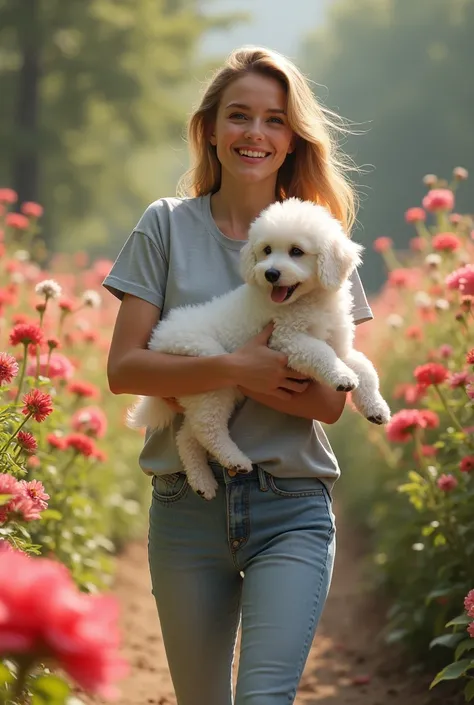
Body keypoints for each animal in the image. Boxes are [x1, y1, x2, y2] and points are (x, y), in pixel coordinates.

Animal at [127, 195, 388, 498]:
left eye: (296, 251)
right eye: (267, 250)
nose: (271, 273)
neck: (307, 302)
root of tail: (158, 339)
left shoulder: (341, 347)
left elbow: (366, 368)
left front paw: (376, 408)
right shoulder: (286, 340)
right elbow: (321, 353)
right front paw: (342, 377)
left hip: (207, 393)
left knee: (187, 436)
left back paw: (203, 482)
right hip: (211, 377)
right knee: (207, 428)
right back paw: (235, 460)